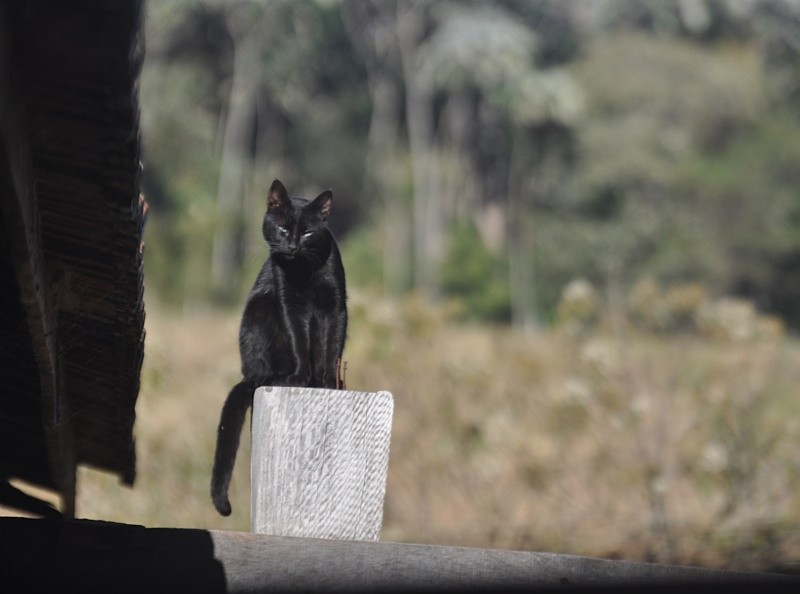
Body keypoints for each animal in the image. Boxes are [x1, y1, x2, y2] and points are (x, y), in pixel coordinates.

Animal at [212, 177, 346, 512]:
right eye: (283, 229)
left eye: (308, 232)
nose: (293, 246)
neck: (303, 271)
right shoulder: (289, 303)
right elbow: (300, 341)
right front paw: (301, 377)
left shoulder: (336, 306)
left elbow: (331, 347)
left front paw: (328, 382)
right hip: (260, 310)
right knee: (259, 372)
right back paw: (281, 377)